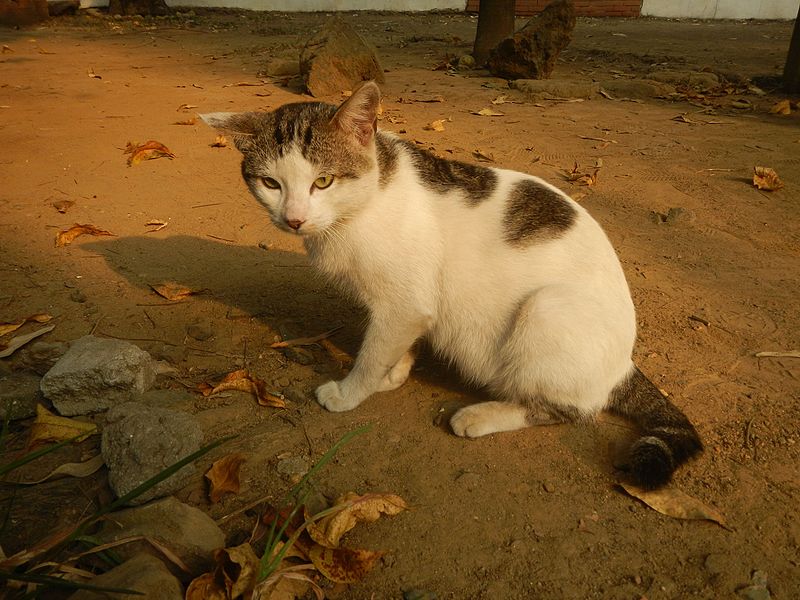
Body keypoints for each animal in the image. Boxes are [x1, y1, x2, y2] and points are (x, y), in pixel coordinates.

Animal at [203, 82, 704, 490]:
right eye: (270, 183)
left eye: (323, 181)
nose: (294, 219)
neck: (362, 207)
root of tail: (624, 364)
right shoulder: (409, 304)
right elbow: (396, 343)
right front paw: (394, 375)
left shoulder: (403, 304)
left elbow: (371, 352)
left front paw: (351, 392)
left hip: (546, 309)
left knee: (567, 409)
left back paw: (481, 415)